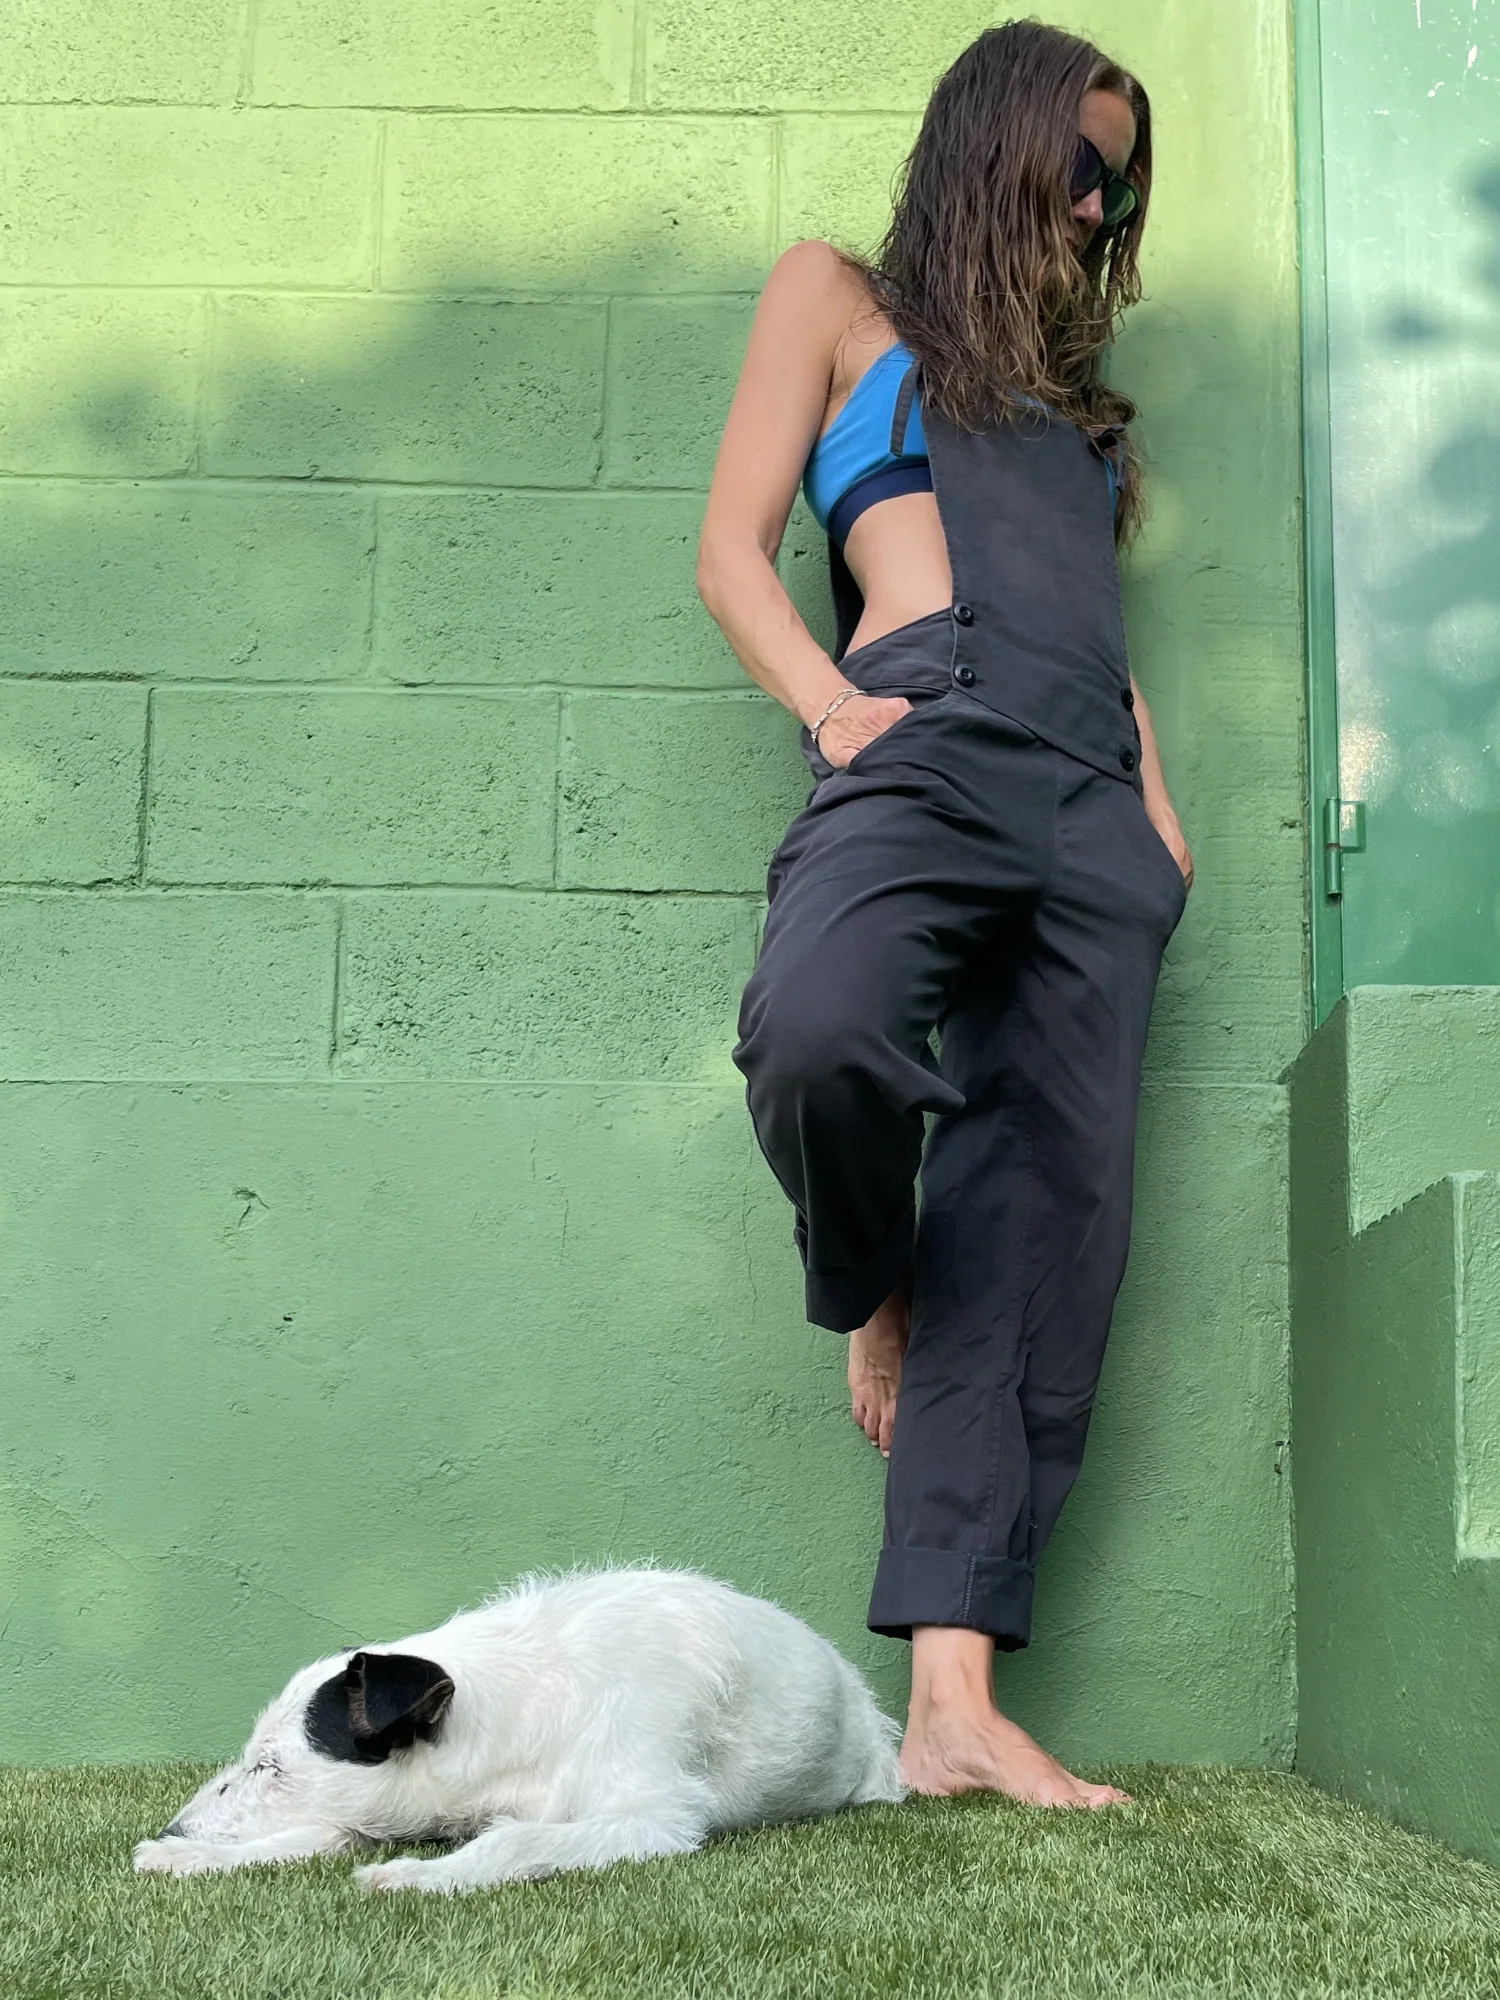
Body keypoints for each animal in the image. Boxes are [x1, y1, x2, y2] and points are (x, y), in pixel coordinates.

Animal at [134, 1566, 905, 1893]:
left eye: (272, 1767)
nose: (174, 1827)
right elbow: (311, 1838)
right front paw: (189, 1857)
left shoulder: (650, 1817)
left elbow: (517, 1840)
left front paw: (418, 1876)